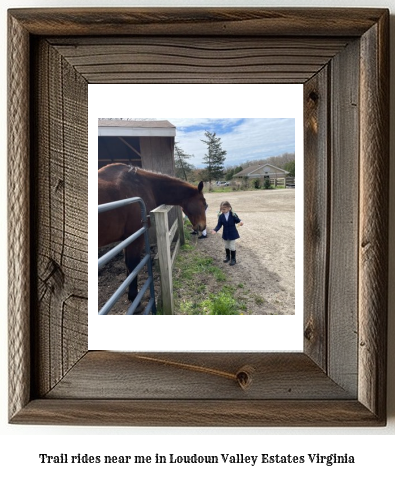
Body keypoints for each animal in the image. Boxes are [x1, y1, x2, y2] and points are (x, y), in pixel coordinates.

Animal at [99, 164, 207, 306]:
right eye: (204, 204)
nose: (203, 226)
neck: (143, 185)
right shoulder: (135, 236)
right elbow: (133, 264)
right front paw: (134, 298)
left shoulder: (127, 238)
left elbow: (128, 266)